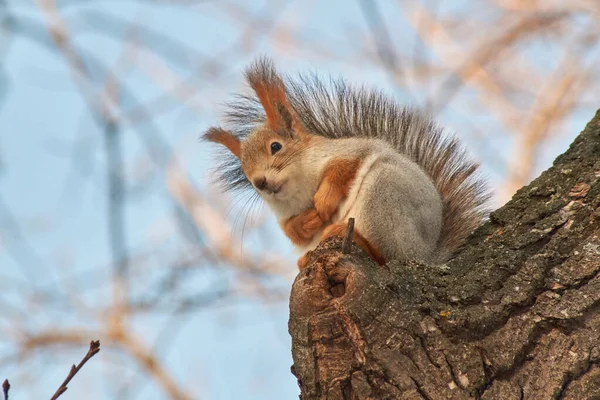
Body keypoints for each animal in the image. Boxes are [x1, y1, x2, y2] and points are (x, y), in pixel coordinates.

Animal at [204, 57, 490, 270]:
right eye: (244, 170)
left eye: (275, 146)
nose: (259, 182)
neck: (298, 189)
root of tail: (428, 255)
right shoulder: (284, 213)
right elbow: (291, 231)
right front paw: (307, 221)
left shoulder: (349, 150)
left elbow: (343, 168)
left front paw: (323, 202)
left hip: (385, 195)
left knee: (389, 256)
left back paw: (350, 236)